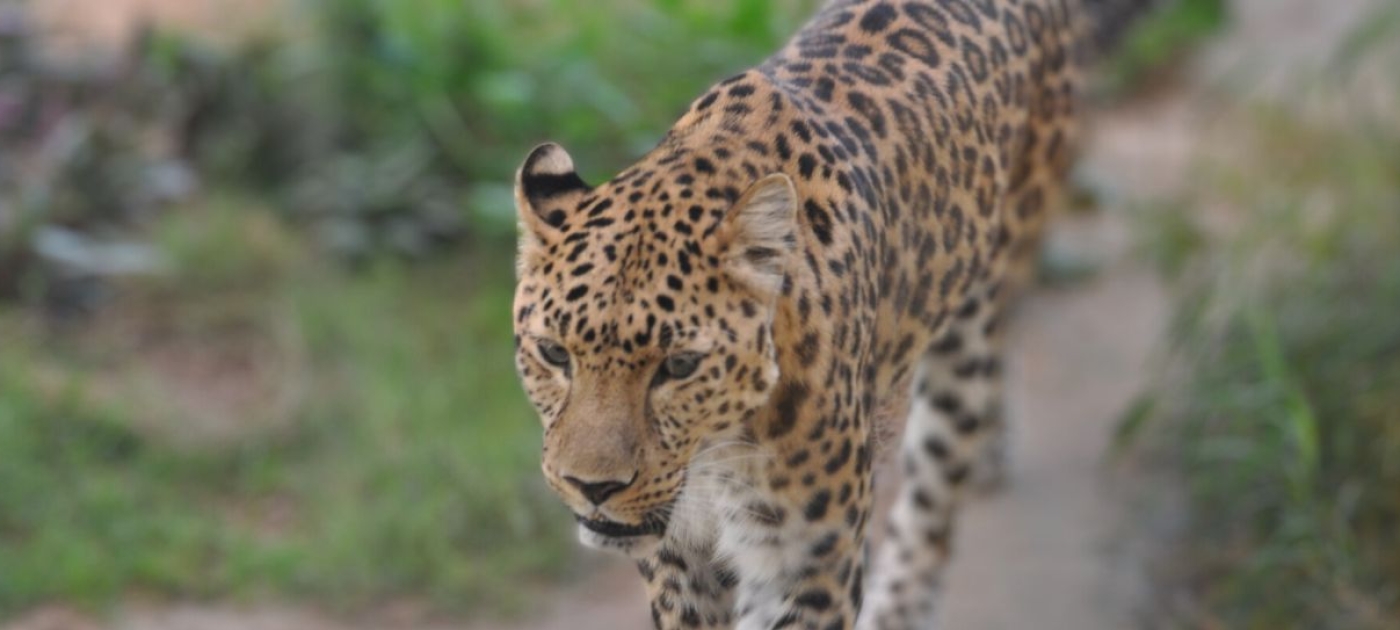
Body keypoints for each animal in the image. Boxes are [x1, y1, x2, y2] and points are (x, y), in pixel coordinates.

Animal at [511, 1, 1156, 628]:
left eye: (680, 366)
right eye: (553, 354)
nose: (591, 487)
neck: (716, 453)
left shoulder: (809, 564)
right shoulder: (679, 564)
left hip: (975, 317)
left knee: (937, 486)